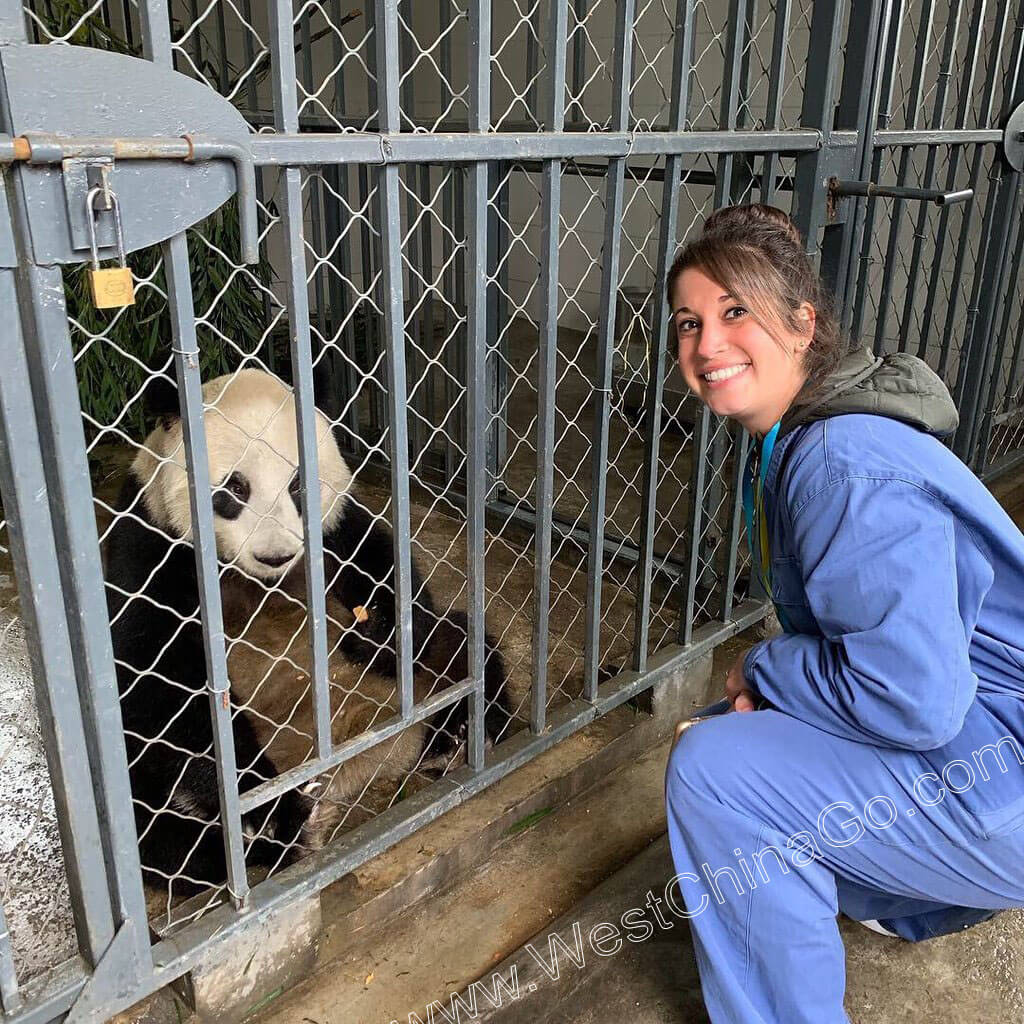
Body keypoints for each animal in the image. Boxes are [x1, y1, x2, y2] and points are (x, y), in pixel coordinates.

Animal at [103, 370, 512, 897]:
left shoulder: (335, 528)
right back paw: (277, 831)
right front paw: (259, 808)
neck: (259, 579)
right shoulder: (151, 538)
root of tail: (357, 766)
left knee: (457, 644)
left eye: (299, 484)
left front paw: (373, 634)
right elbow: (157, 669)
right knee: (146, 813)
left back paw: (459, 736)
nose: (275, 555)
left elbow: (383, 564)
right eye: (234, 489)